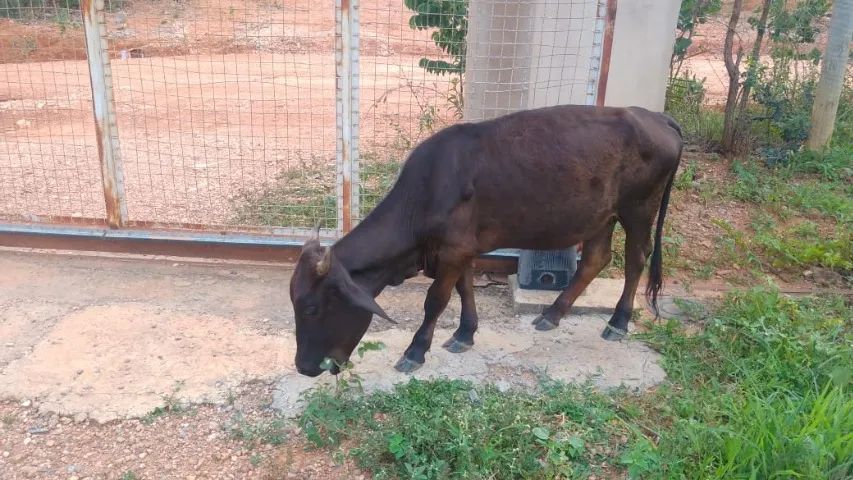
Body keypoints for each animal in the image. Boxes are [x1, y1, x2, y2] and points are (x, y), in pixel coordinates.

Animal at [290, 104, 683, 377]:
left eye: (311, 308)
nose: (304, 367)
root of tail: (655, 116)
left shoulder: (453, 250)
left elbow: (436, 301)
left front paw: (415, 351)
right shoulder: (461, 249)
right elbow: (465, 290)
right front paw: (465, 334)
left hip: (639, 209)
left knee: (636, 259)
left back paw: (617, 322)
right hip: (602, 215)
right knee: (595, 259)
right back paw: (552, 314)